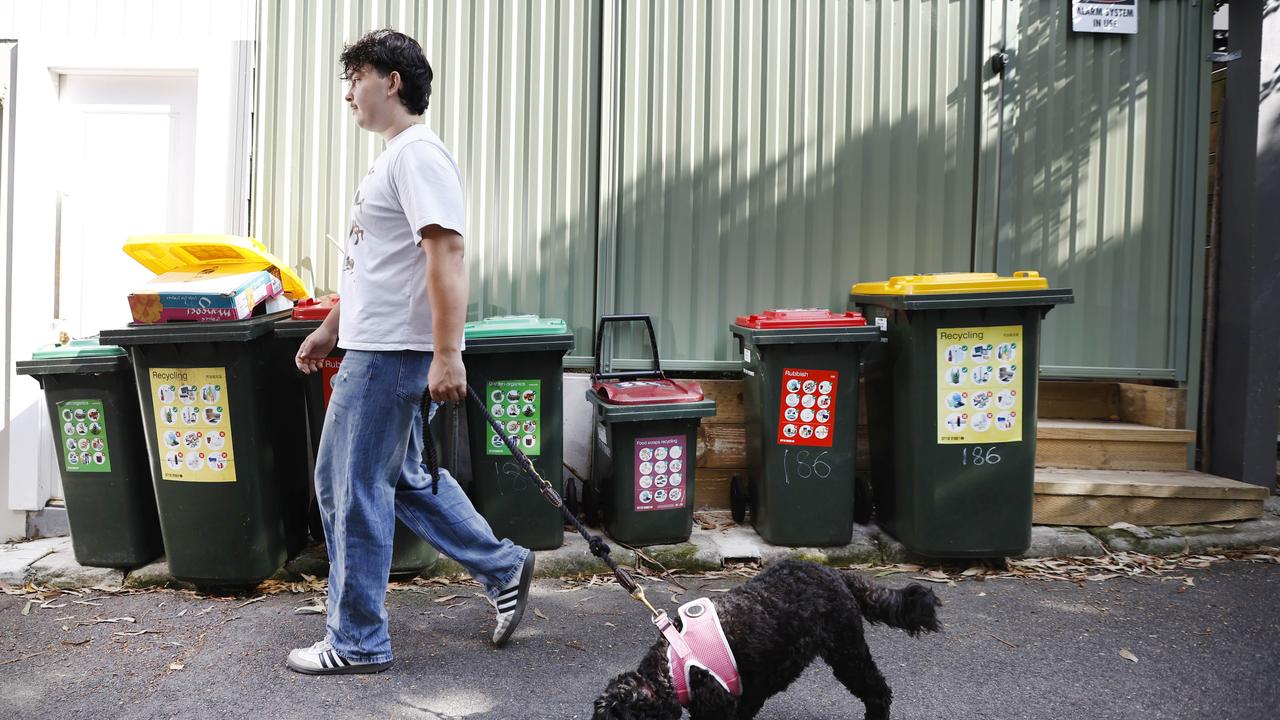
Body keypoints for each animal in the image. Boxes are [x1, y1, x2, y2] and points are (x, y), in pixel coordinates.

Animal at [588, 561, 942, 717]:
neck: (675, 662)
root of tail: (836, 572)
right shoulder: (746, 692)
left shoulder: (719, 705)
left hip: (848, 652)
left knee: (878, 692)